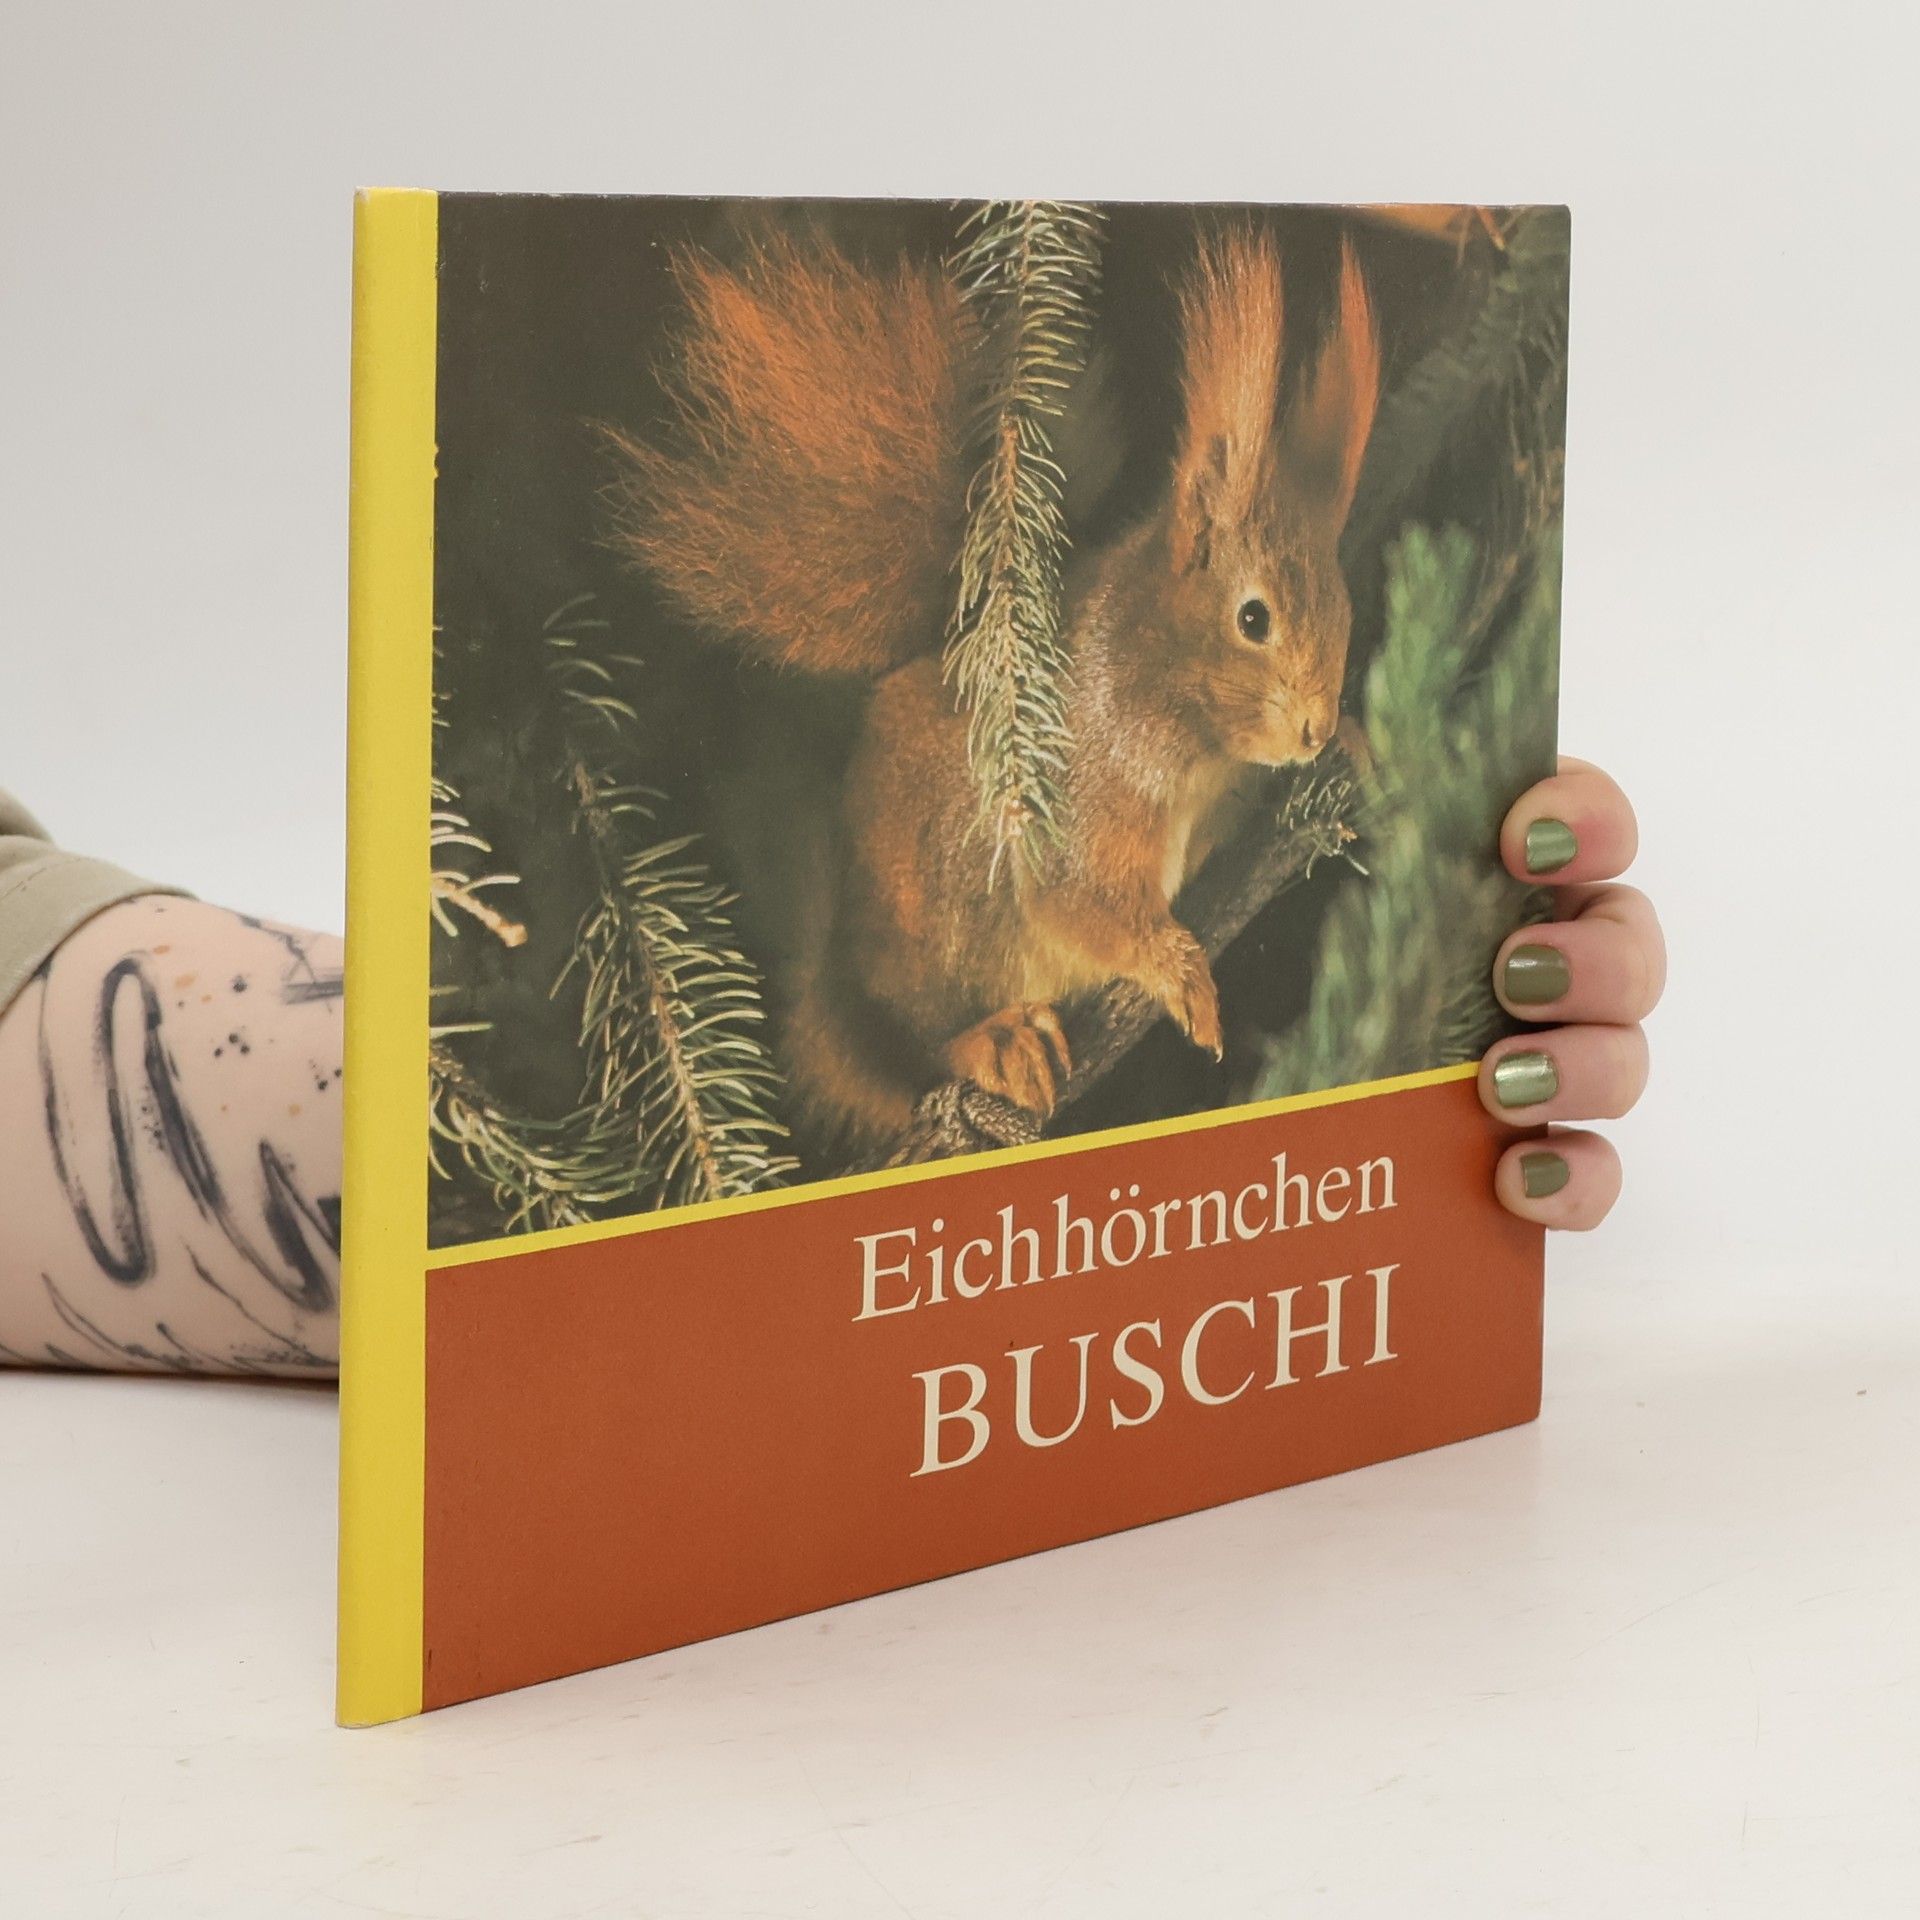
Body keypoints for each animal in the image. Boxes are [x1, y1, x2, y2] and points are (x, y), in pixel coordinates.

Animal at [603, 223, 1381, 1160]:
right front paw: (1179, 970)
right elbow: (1082, 906)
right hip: (939, 925)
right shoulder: (1080, 801)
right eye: (1254, 619)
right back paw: (993, 1043)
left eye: (1344, 609)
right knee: (914, 1049)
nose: (1311, 728)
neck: (1185, 728)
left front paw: (1358, 742)